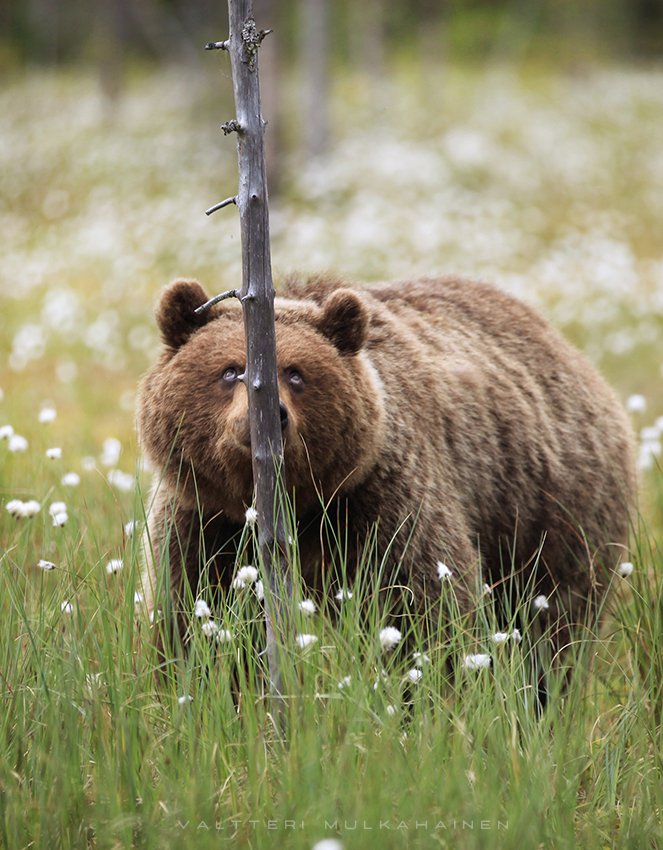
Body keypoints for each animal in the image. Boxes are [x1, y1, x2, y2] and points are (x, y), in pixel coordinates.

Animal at [137, 274, 636, 652]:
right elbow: (191, 613)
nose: (269, 415)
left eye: (296, 373)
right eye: (229, 370)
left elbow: (423, 605)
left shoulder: (377, 503)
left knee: (556, 626)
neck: (288, 507)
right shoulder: (205, 517)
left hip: (552, 513)